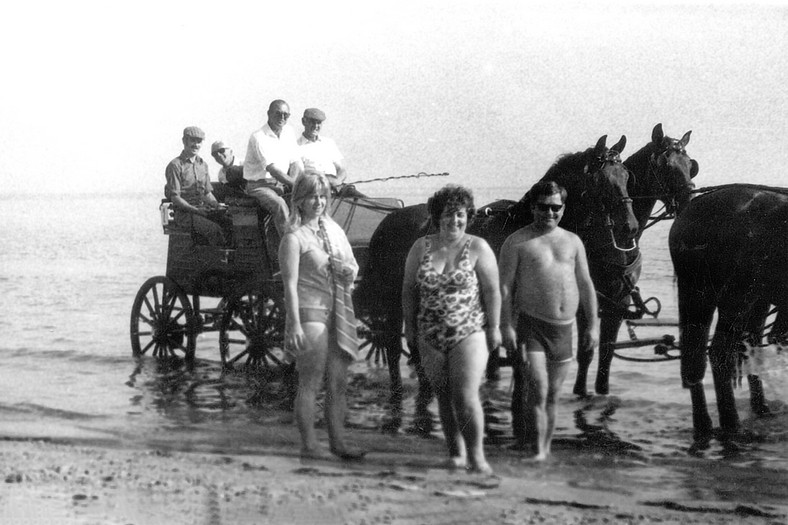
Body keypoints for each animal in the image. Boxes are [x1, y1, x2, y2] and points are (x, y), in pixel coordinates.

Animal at [354, 133, 636, 428]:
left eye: (626, 176)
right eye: (602, 180)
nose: (630, 226)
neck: (528, 231)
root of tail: (388, 221)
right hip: (392, 302)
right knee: (392, 345)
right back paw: (399, 394)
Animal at [572, 122, 696, 392]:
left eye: (690, 164)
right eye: (666, 165)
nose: (689, 205)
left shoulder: (620, 301)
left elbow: (606, 354)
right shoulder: (585, 301)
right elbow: (585, 353)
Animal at [668, 184, 784, 438]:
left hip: (698, 294)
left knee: (698, 357)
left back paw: (707, 424)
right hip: (736, 298)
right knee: (720, 354)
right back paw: (732, 424)